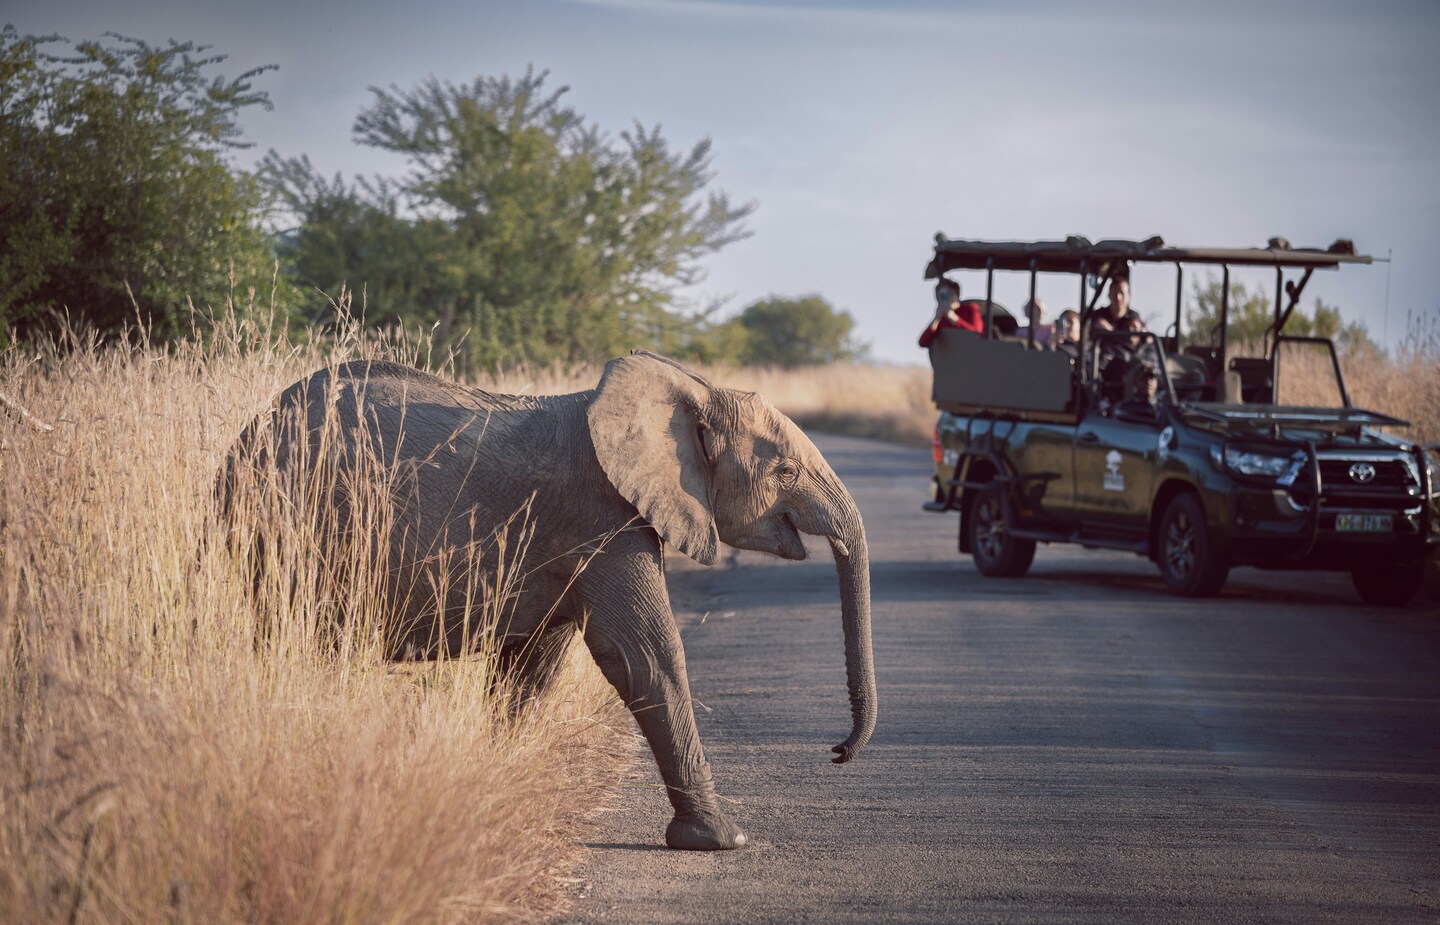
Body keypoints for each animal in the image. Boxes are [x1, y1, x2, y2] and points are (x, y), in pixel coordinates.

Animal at [220, 348, 875, 847]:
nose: (837, 752)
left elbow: (534, 662)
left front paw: (494, 786)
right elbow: (643, 654)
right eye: (785, 470)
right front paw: (720, 841)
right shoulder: (603, 515)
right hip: (288, 528)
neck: (689, 389)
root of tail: (241, 441)